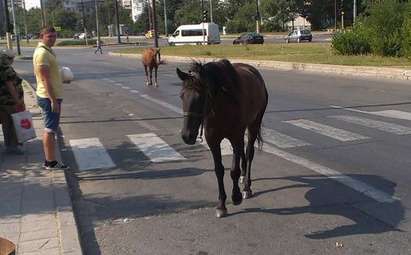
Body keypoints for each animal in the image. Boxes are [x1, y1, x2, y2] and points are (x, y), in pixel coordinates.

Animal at [178, 59, 270, 217]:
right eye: (182, 96)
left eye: (201, 97)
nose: (187, 135)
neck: (223, 104)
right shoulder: (213, 141)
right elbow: (219, 170)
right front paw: (221, 204)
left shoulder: (235, 137)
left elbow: (233, 170)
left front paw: (236, 196)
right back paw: (243, 177)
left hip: (254, 124)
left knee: (249, 153)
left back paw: (246, 186)